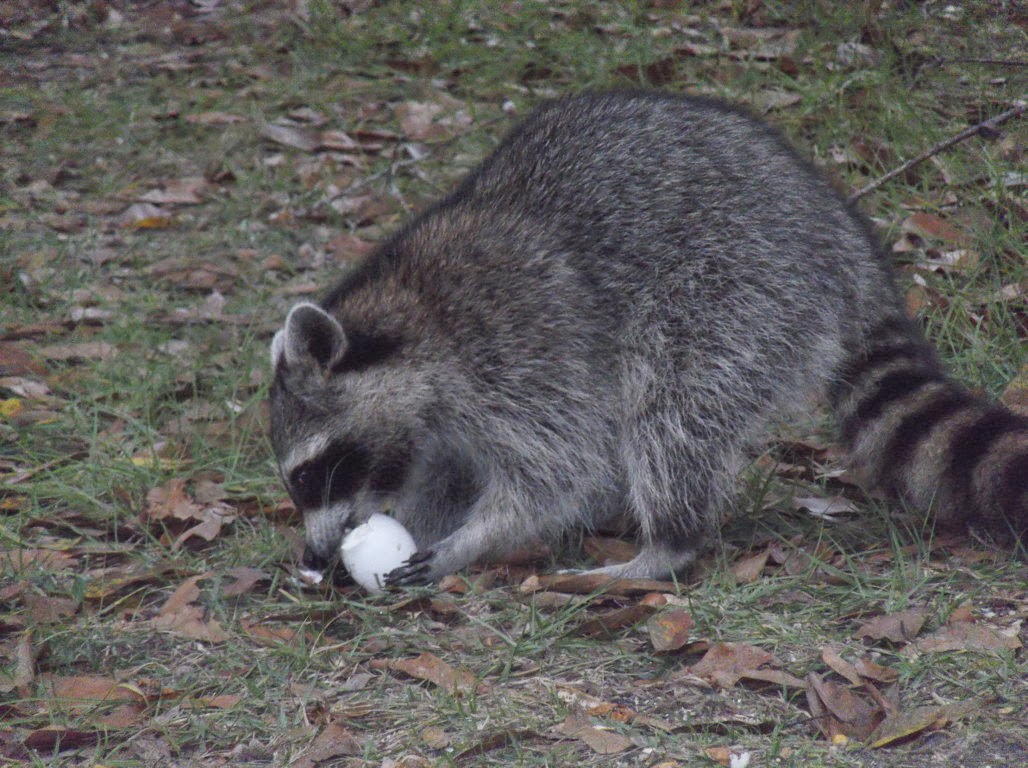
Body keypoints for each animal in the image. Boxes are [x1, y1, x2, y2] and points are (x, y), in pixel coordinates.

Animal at [269, 90, 1027, 586]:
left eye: (309, 472)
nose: (312, 559)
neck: (408, 316)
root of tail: (837, 231)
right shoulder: (442, 417)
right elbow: (448, 474)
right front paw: (428, 524)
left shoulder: (517, 348)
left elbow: (559, 467)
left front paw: (474, 539)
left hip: (735, 292)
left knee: (672, 413)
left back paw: (664, 546)